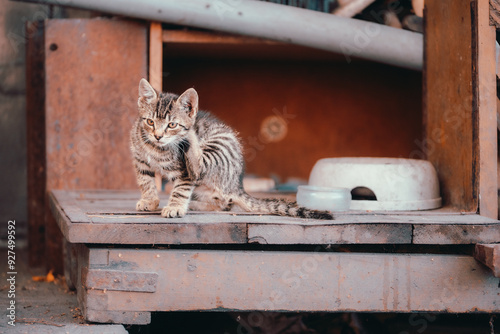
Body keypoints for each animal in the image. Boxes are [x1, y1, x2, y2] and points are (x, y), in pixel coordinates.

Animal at [130, 77, 332, 220]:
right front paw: (149, 200)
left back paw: (192, 136)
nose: (158, 136)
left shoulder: (184, 172)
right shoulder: (140, 162)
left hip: (218, 147)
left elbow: (181, 188)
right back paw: (197, 205)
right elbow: (145, 181)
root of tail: (237, 184)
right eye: (150, 122)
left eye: (172, 125)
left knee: (201, 169)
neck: (155, 147)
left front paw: (175, 207)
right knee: (224, 203)